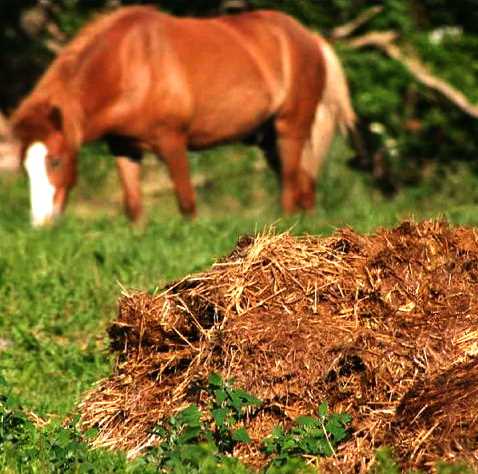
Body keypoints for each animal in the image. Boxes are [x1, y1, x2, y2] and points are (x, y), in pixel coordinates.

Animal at [10, 5, 354, 227]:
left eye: (55, 161)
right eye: (25, 166)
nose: (41, 223)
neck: (131, 64)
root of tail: (311, 37)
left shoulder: (172, 141)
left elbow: (187, 203)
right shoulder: (124, 147)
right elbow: (133, 206)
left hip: (290, 128)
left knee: (291, 185)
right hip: (269, 140)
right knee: (304, 184)